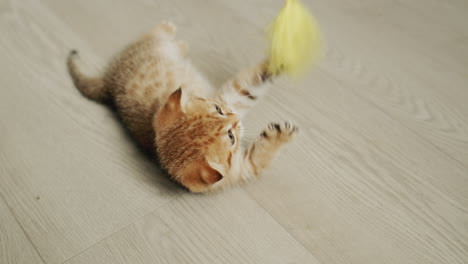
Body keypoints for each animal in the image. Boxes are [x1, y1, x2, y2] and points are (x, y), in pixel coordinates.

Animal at [67, 22, 298, 192]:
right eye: (231, 137)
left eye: (218, 109)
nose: (237, 119)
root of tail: (108, 84)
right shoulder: (243, 167)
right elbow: (262, 154)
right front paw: (281, 134)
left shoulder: (229, 98)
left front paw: (282, 55)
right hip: (149, 45)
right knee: (152, 36)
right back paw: (170, 30)